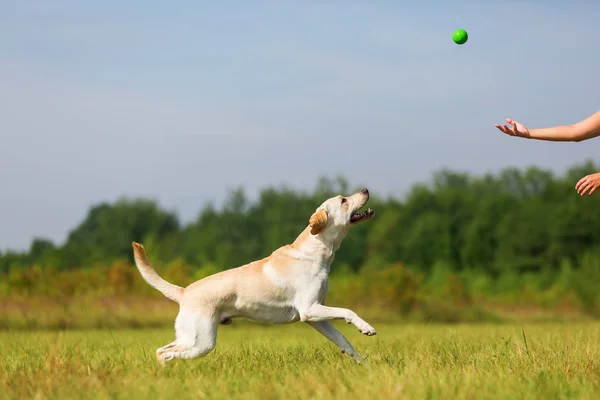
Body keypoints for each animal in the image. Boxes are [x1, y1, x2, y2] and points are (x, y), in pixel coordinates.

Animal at [132, 187, 376, 362]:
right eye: (343, 200)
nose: (365, 189)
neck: (316, 252)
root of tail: (184, 292)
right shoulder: (309, 310)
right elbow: (348, 311)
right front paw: (367, 327)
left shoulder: (317, 316)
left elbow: (343, 341)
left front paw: (363, 364)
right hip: (201, 341)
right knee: (166, 353)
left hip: (189, 337)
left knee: (161, 351)